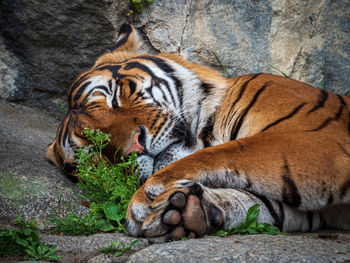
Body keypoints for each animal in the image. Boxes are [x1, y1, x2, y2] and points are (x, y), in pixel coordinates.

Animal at [46, 22, 350, 243]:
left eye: (114, 97)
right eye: (95, 156)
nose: (135, 149)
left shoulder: (317, 140)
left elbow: (218, 154)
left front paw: (145, 199)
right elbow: (254, 201)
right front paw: (184, 212)